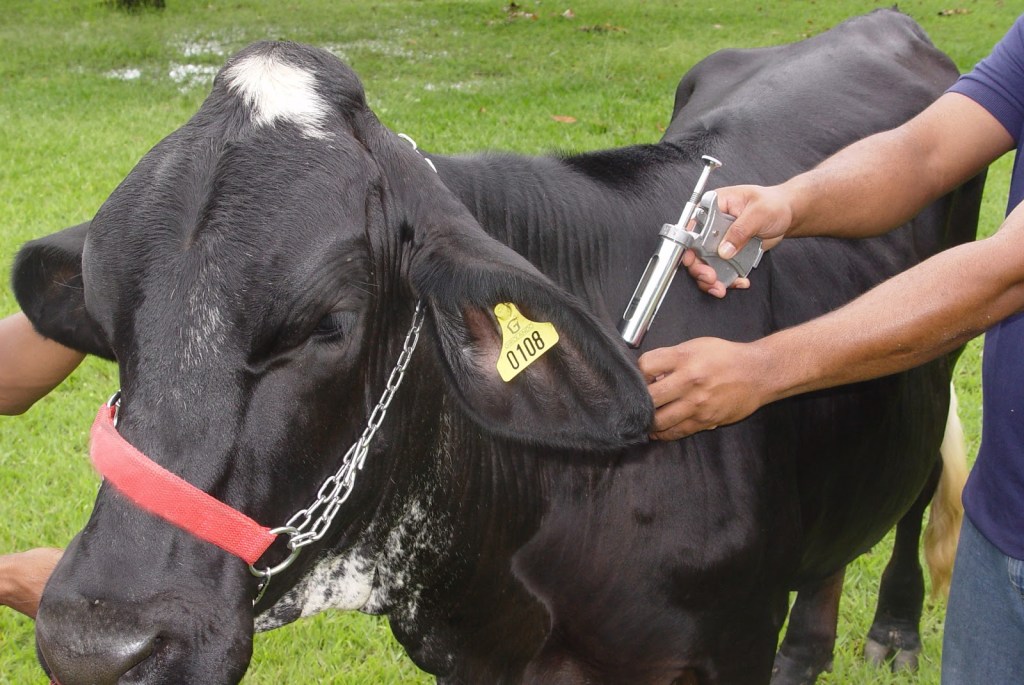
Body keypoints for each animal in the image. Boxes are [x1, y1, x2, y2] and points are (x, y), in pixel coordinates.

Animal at [12, 10, 978, 683]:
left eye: (328, 323)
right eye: (107, 315)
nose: (99, 641)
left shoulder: (727, 638)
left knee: (918, 478)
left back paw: (892, 627)